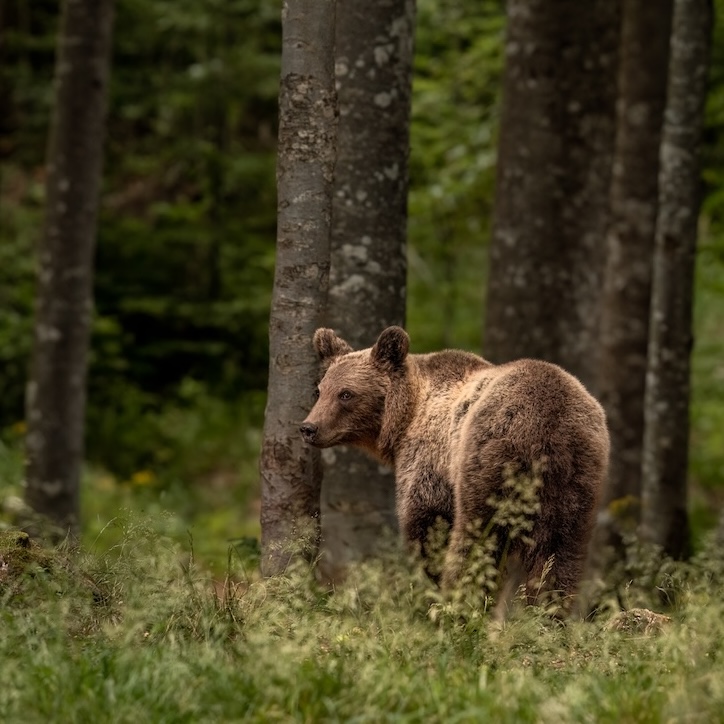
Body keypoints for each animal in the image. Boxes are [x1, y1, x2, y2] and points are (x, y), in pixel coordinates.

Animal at [300, 326, 610, 617]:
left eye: (346, 394)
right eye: (320, 390)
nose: (308, 427)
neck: (407, 416)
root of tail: (550, 426)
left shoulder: (431, 463)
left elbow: (427, 525)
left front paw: (429, 592)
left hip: (489, 458)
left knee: (479, 536)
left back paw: (460, 609)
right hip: (577, 478)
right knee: (561, 551)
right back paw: (546, 615)